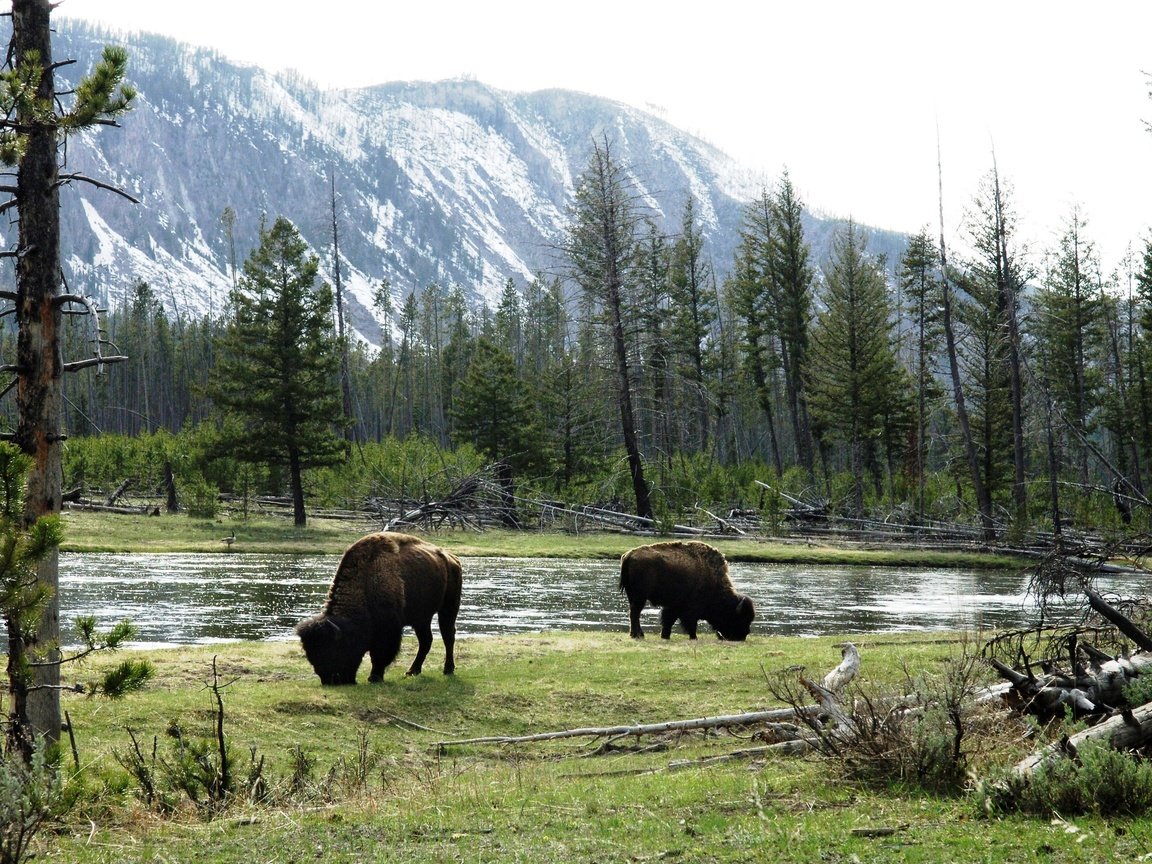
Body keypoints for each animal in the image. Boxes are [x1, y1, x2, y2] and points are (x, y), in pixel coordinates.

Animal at [294, 532, 460, 686]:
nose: (331, 681)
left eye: (332, 650)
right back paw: (412, 671)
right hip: (421, 618)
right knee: (426, 640)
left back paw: (448, 669)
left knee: (448, 636)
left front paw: (374, 677)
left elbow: (380, 655)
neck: (365, 583)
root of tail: (452, 558)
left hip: (449, 608)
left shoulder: (388, 630)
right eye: (310, 655)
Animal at [622, 541, 755, 645]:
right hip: (640, 597)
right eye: (739, 619)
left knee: (634, 613)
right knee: (635, 613)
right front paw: (694, 637)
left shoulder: (673, 606)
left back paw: (638, 634)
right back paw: (637, 635)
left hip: (633, 596)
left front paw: (665, 636)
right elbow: (690, 624)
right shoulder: (690, 611)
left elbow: (668, 621)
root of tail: (629, 555)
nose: (742, 637)